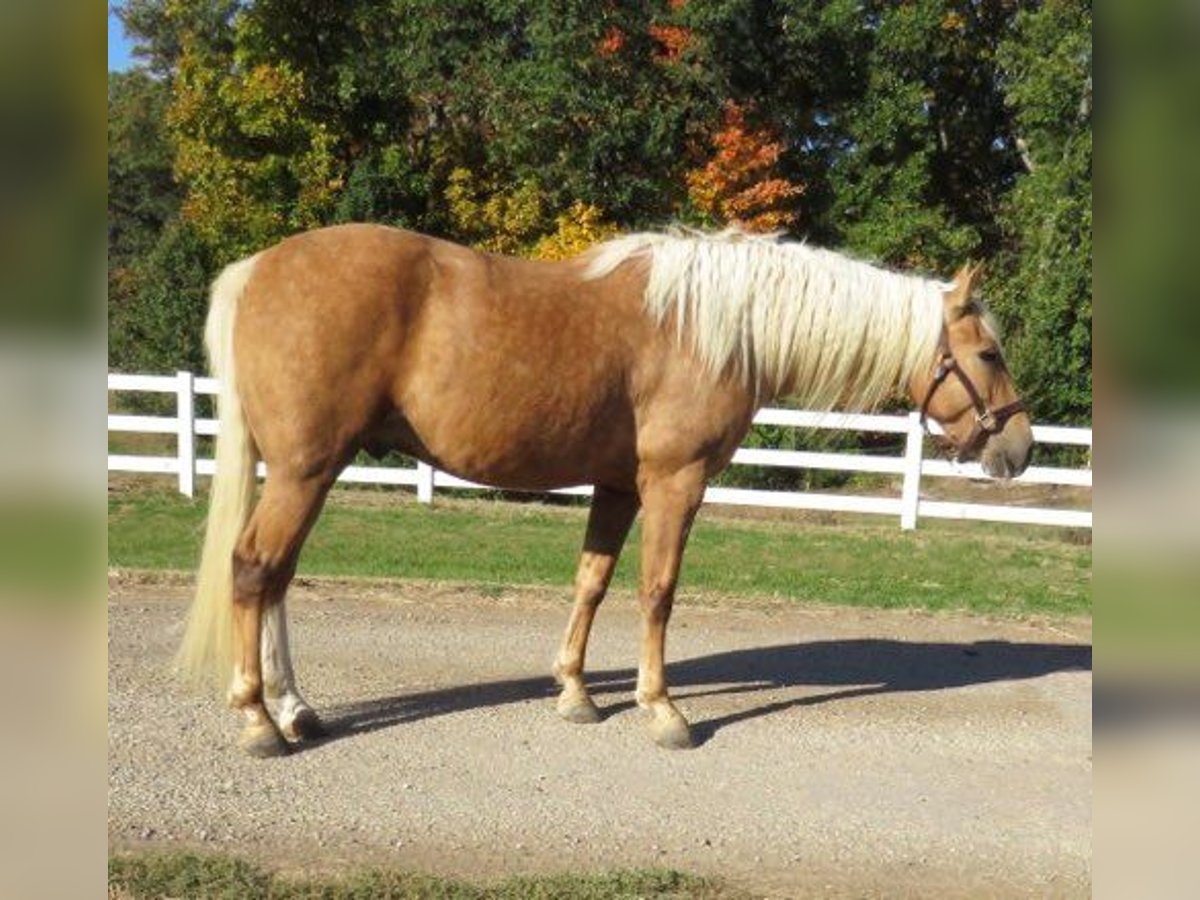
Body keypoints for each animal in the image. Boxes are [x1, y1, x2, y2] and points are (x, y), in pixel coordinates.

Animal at [177, 224, 1032, 753]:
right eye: (988, 353)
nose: (1020, 449)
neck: (713, 329)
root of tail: (258, 268)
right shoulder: (674, 483)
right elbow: (657, 592)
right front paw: (663, 710)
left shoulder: (618, 485)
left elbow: (591, 582)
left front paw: (576, 694)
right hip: (305, 469)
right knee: (255, 570)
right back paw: (258, 720)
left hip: (304, 470)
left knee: (276, 578)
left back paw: (295, 707)